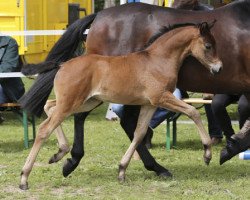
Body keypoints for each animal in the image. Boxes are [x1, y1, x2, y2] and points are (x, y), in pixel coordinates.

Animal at [20, 0, 250, 180]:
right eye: (209, 46)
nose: (218, 68)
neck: (157, 59)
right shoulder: (162, 97)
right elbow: (193, 112)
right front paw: (213, 152)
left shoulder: (150, 103)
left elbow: (140, 132)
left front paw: (122, 168)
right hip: (81, 100)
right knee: (55, 124)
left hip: (88, 99)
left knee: (54, 108)